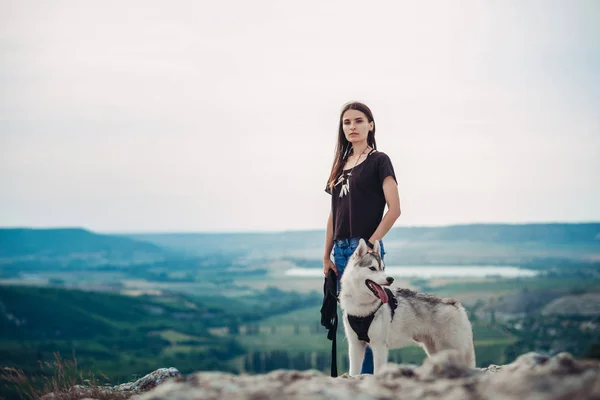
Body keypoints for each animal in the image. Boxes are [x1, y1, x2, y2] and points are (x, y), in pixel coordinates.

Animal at [340, 241, 476, 376]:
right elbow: (353, 373)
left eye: (383, 268)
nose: (390, 279)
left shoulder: (379, 345)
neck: (361, 309)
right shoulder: (355, 345)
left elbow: (377, 371)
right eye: (372, 268)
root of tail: (456, 305)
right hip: (434, 350)